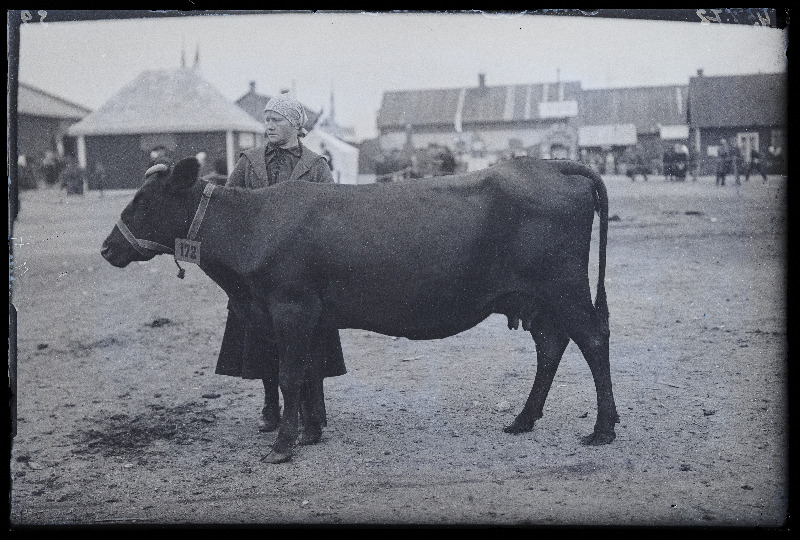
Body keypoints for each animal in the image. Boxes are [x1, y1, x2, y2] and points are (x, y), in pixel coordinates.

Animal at [101, 154, 620, 462]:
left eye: (142, 202)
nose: (107, 248)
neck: (252, 224)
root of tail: (551, 165)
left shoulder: (289, 306)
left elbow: (289, 374)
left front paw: (283, 445)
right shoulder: (310, 314)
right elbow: (309, 372)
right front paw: (310, 432)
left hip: (563, 288)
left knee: (593, 339)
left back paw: (603, 428)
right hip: (535, 300)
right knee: (551, 346)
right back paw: (523, 420)